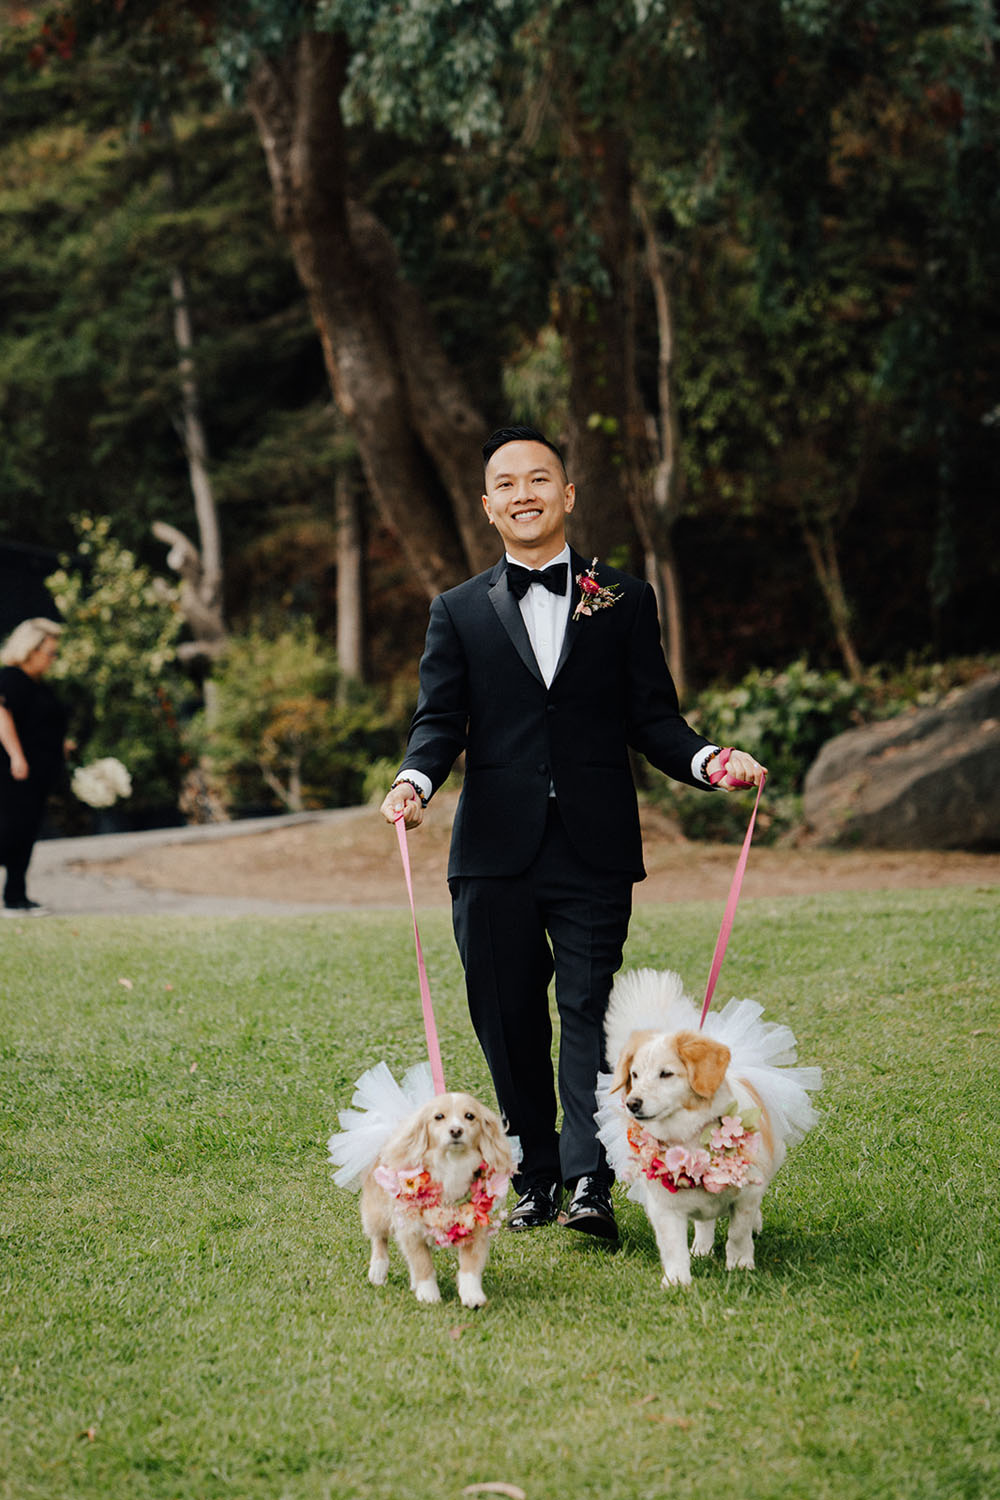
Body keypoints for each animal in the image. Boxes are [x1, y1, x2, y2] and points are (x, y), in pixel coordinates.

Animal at [329, 1068, 521, 1314]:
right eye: (439, 1117)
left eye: (470, 1116)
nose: (456, 1130)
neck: (451, 1165)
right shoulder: (410, 1229)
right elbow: (423, 1265)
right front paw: (429, 1295)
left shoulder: (474, 1227)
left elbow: (470, 1268)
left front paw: (473, 1296)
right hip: (378, 1212)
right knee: (379, 1239)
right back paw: (378, 1272)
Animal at [593, 972, 821, 1290]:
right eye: (634, 1075)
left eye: (666, 1074)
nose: (632, 1103)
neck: (689, 1138)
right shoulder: (665, 1208)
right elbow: (672, 1246)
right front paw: (677, 1280)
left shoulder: (746, 1195)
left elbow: (738, 1232)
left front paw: (740, 1264)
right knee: (704, 1222)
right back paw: (701, 1247)